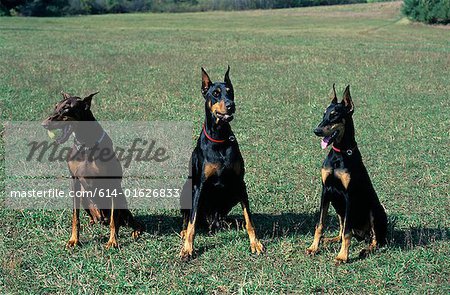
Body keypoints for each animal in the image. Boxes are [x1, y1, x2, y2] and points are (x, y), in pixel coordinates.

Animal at [42, 92, 142, 250]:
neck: (85, 144)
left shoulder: (112, 184)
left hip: (120, 198)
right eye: (56, 106)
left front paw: (112, 241)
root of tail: (102, 218)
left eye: (66, 108)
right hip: (84, 197)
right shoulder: (74, 181)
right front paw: (73, 240)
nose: (44, 124)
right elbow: (75, 217)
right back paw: (91, 222)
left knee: (127, 220)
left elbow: (114, 219)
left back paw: (135, 231)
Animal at [179, 67, 264, 262]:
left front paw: (255, 243)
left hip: (231, 193)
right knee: (188, 218)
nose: (231, 104)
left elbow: (249, 219)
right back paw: (184, 231)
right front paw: (187, 249)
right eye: (216, 94)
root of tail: (212, 221)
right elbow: (192, 222)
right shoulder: (199, 185)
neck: (219, 137)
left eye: (230, 92)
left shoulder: (240, 183)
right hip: (186, 189)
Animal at [306, 84, 386, 264]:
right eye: (324, 113)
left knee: (376, 240)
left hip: (375, 209)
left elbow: (347, 232)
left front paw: (343, 256)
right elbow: (320, 224)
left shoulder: (350, 195)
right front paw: (314, 247)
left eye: (335, 115)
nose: (316, 130)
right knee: (342, 231)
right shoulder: (326, 191)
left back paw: (366, 250)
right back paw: (332, 239)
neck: (340, 152)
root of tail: (362, 235)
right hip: (338, 208)